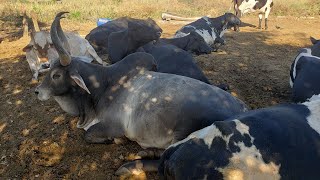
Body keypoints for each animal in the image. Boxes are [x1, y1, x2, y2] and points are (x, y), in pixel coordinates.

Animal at [36, 11, 249, 152]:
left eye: (56, 75)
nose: (37, 91)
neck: (101, 86)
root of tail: (243, 110)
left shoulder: (113, 125)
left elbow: (88, 135)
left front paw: (116, 141)